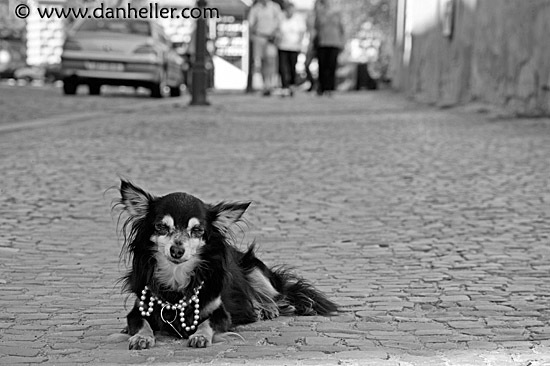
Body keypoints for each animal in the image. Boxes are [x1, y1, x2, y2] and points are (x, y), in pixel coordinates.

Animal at [115, 179, 338, 348]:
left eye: (197, 230)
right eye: (161, 227)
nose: (177, 251)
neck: (177, 276)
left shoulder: (221, 314)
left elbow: (207, 323)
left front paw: (200, 336)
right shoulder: (138, 310)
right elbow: (141, 323)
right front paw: (141, 337)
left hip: (254, 269)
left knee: (277, 296)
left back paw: (266, 309)